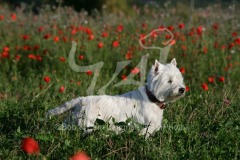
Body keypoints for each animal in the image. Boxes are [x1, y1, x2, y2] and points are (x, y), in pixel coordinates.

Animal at [47, 58, 186, 138]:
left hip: (72, 120)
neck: (152, 98)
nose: (182, 89)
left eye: (179, 78)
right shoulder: (145, 127)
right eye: (169, 80)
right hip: (87, 123)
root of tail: (80, 100)